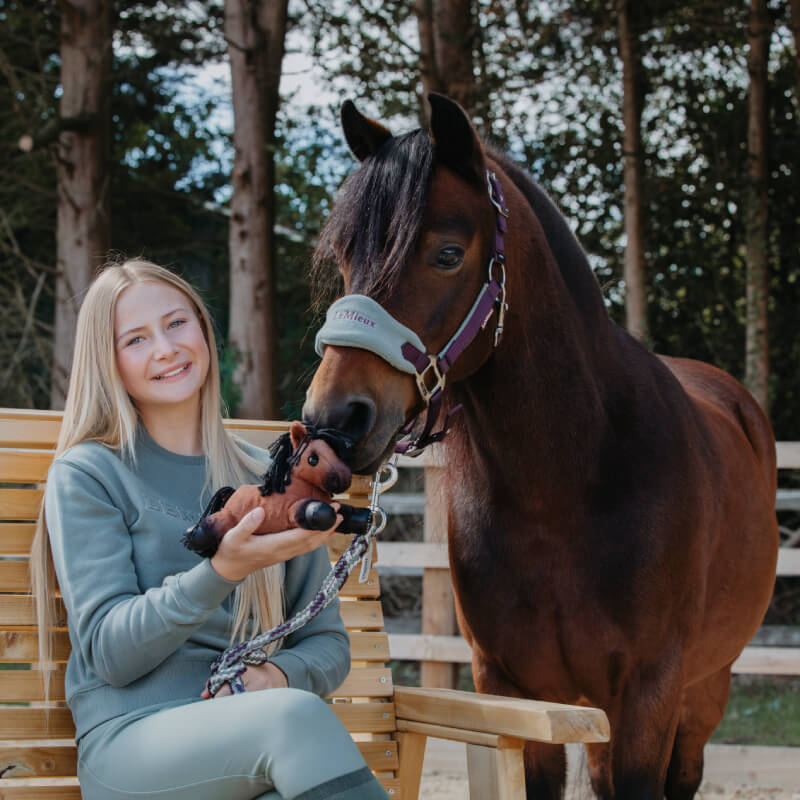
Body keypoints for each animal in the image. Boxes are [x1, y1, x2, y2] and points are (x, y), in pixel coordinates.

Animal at [303, 94, 779, 799]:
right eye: (344, 256)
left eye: (448, 253)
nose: (335, 419)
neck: (564, 489)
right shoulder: (515, 692)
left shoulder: (650, 694)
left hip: (704, 689)